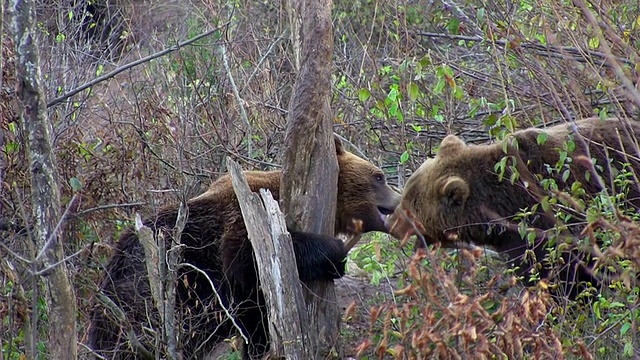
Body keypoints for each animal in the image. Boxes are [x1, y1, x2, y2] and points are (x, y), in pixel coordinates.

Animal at [86, 136, 400, 360]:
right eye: (379, 176)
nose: (399, 201)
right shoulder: (242, 217)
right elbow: (248, 257)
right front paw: (335, 253)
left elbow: (257, 324)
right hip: (148, 296)